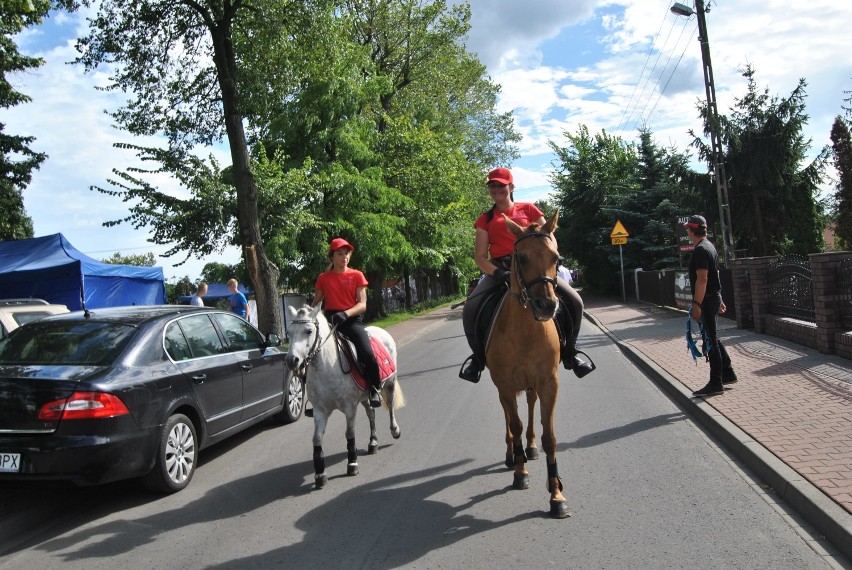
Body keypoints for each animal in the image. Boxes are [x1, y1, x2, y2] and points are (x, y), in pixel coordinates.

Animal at [286, 304, 406, 486]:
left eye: (308, 331)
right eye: (288, 332)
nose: (291, 360)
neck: (327, 366)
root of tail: (381, 331)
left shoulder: (349, 408)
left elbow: (349, 434)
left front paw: (352, 464)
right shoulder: (320, 411)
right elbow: (316, 439)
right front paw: (320, 473)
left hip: (390, 382)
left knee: (390, 406)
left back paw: (395, 430)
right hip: (365, 396)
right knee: (371, 413)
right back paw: (373, 442)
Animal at [482, 207, 568, 516]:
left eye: (556, 258)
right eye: (522, 257)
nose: (547, 305)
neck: (527, 330)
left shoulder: (549, 383)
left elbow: (549, 437)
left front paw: (556, 495)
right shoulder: (506, 384)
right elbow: (515, 425)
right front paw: (520, 473)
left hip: (532, 384)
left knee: (530, 406)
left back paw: (529, 448)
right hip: (503, 387)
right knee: (510, 418)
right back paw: (513, 455)